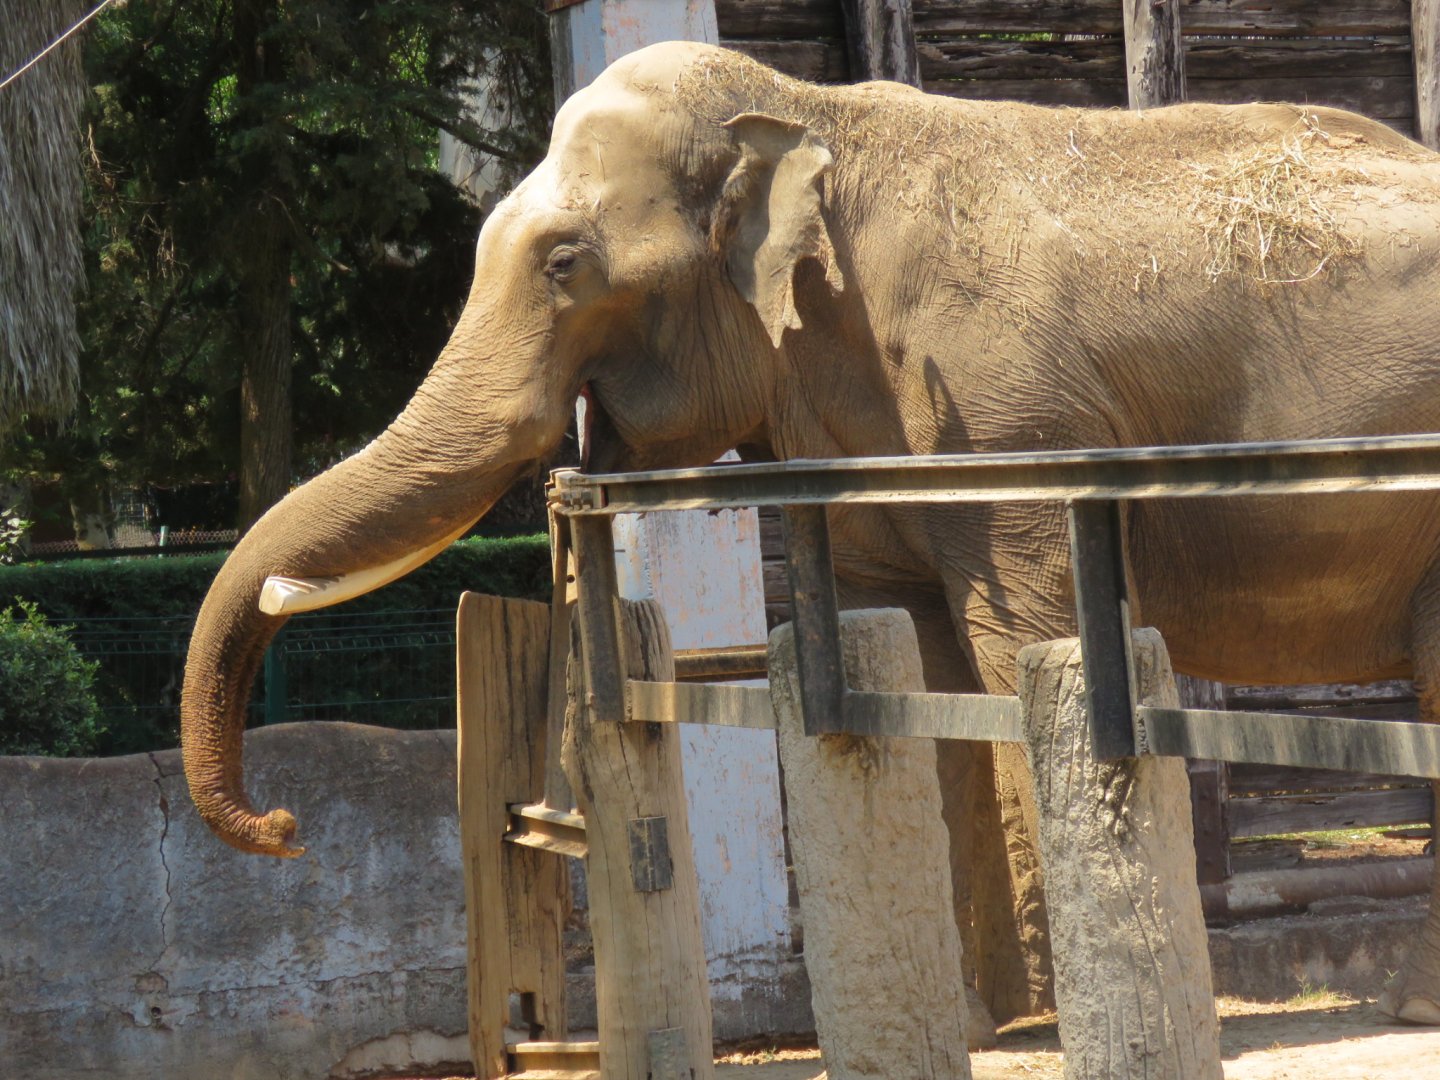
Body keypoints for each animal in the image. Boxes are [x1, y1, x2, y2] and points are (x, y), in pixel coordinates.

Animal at [181, 41, 1440, 1024]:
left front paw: (1035, 1017)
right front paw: (1000, 1020)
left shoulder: (1010, 423)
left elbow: (1015, 652)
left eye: (563, 264)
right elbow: (921, 663)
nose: (286, 827)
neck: (806, 111)